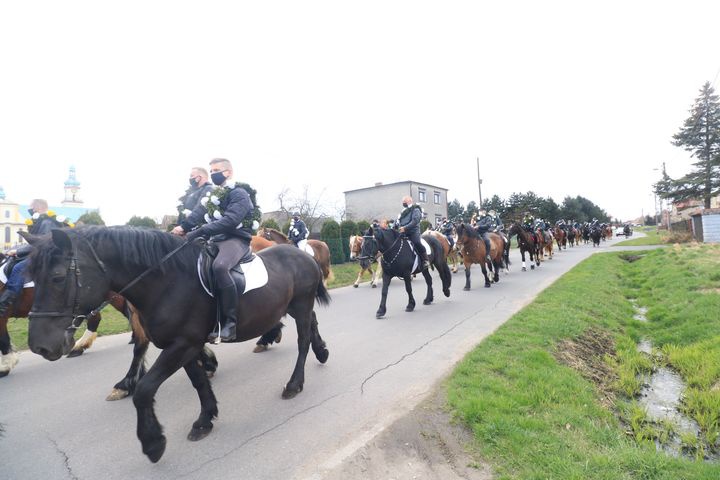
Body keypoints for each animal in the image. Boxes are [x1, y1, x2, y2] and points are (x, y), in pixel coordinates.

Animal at [21, 227, 332, 464]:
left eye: (58, 277)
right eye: (32, 277)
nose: (40, 346)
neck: (167, 282)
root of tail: (300, 253)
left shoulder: (181, 345)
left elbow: (145, 390)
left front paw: (153, 442)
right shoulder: (184, 346)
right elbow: (198, 381)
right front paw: (205, 420)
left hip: (301, 304)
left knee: (303, 341)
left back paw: (294, 384)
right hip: (296, 307)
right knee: (313, 327)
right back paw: (321, 351)